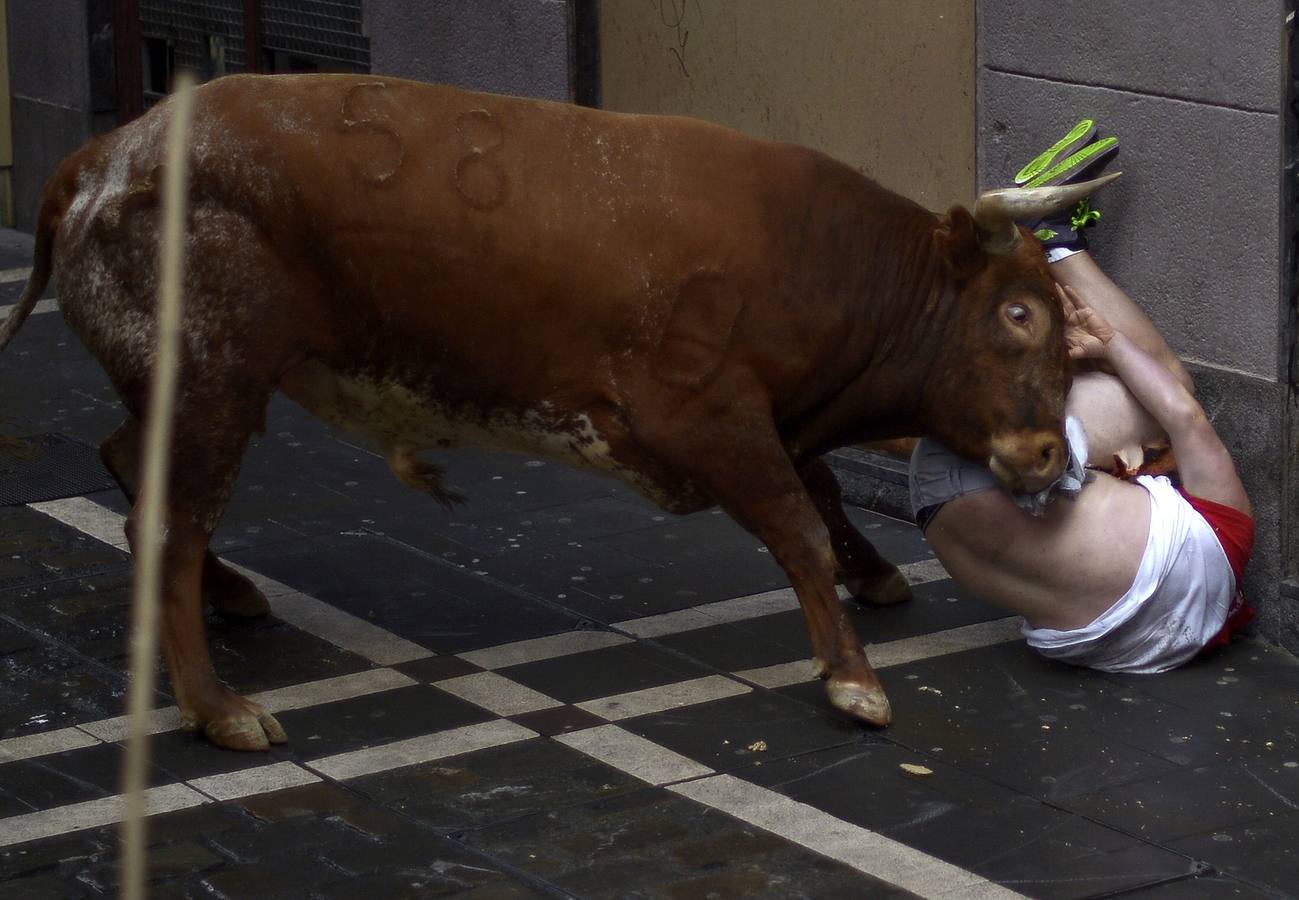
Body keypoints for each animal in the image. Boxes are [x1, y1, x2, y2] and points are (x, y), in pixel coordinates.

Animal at [2, 77, 1117, 748]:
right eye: (1018, 312)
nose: (1039, 456)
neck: (826, 263)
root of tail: (102, 157)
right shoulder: (704, 412)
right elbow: (797, 522)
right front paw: (853, 679)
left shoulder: (765, 416)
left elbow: (824, 490)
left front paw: (877, 573)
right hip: (214, 378)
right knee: (172, 524)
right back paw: (219, 707)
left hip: (186, 388)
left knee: (130, 467)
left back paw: (233, 598)